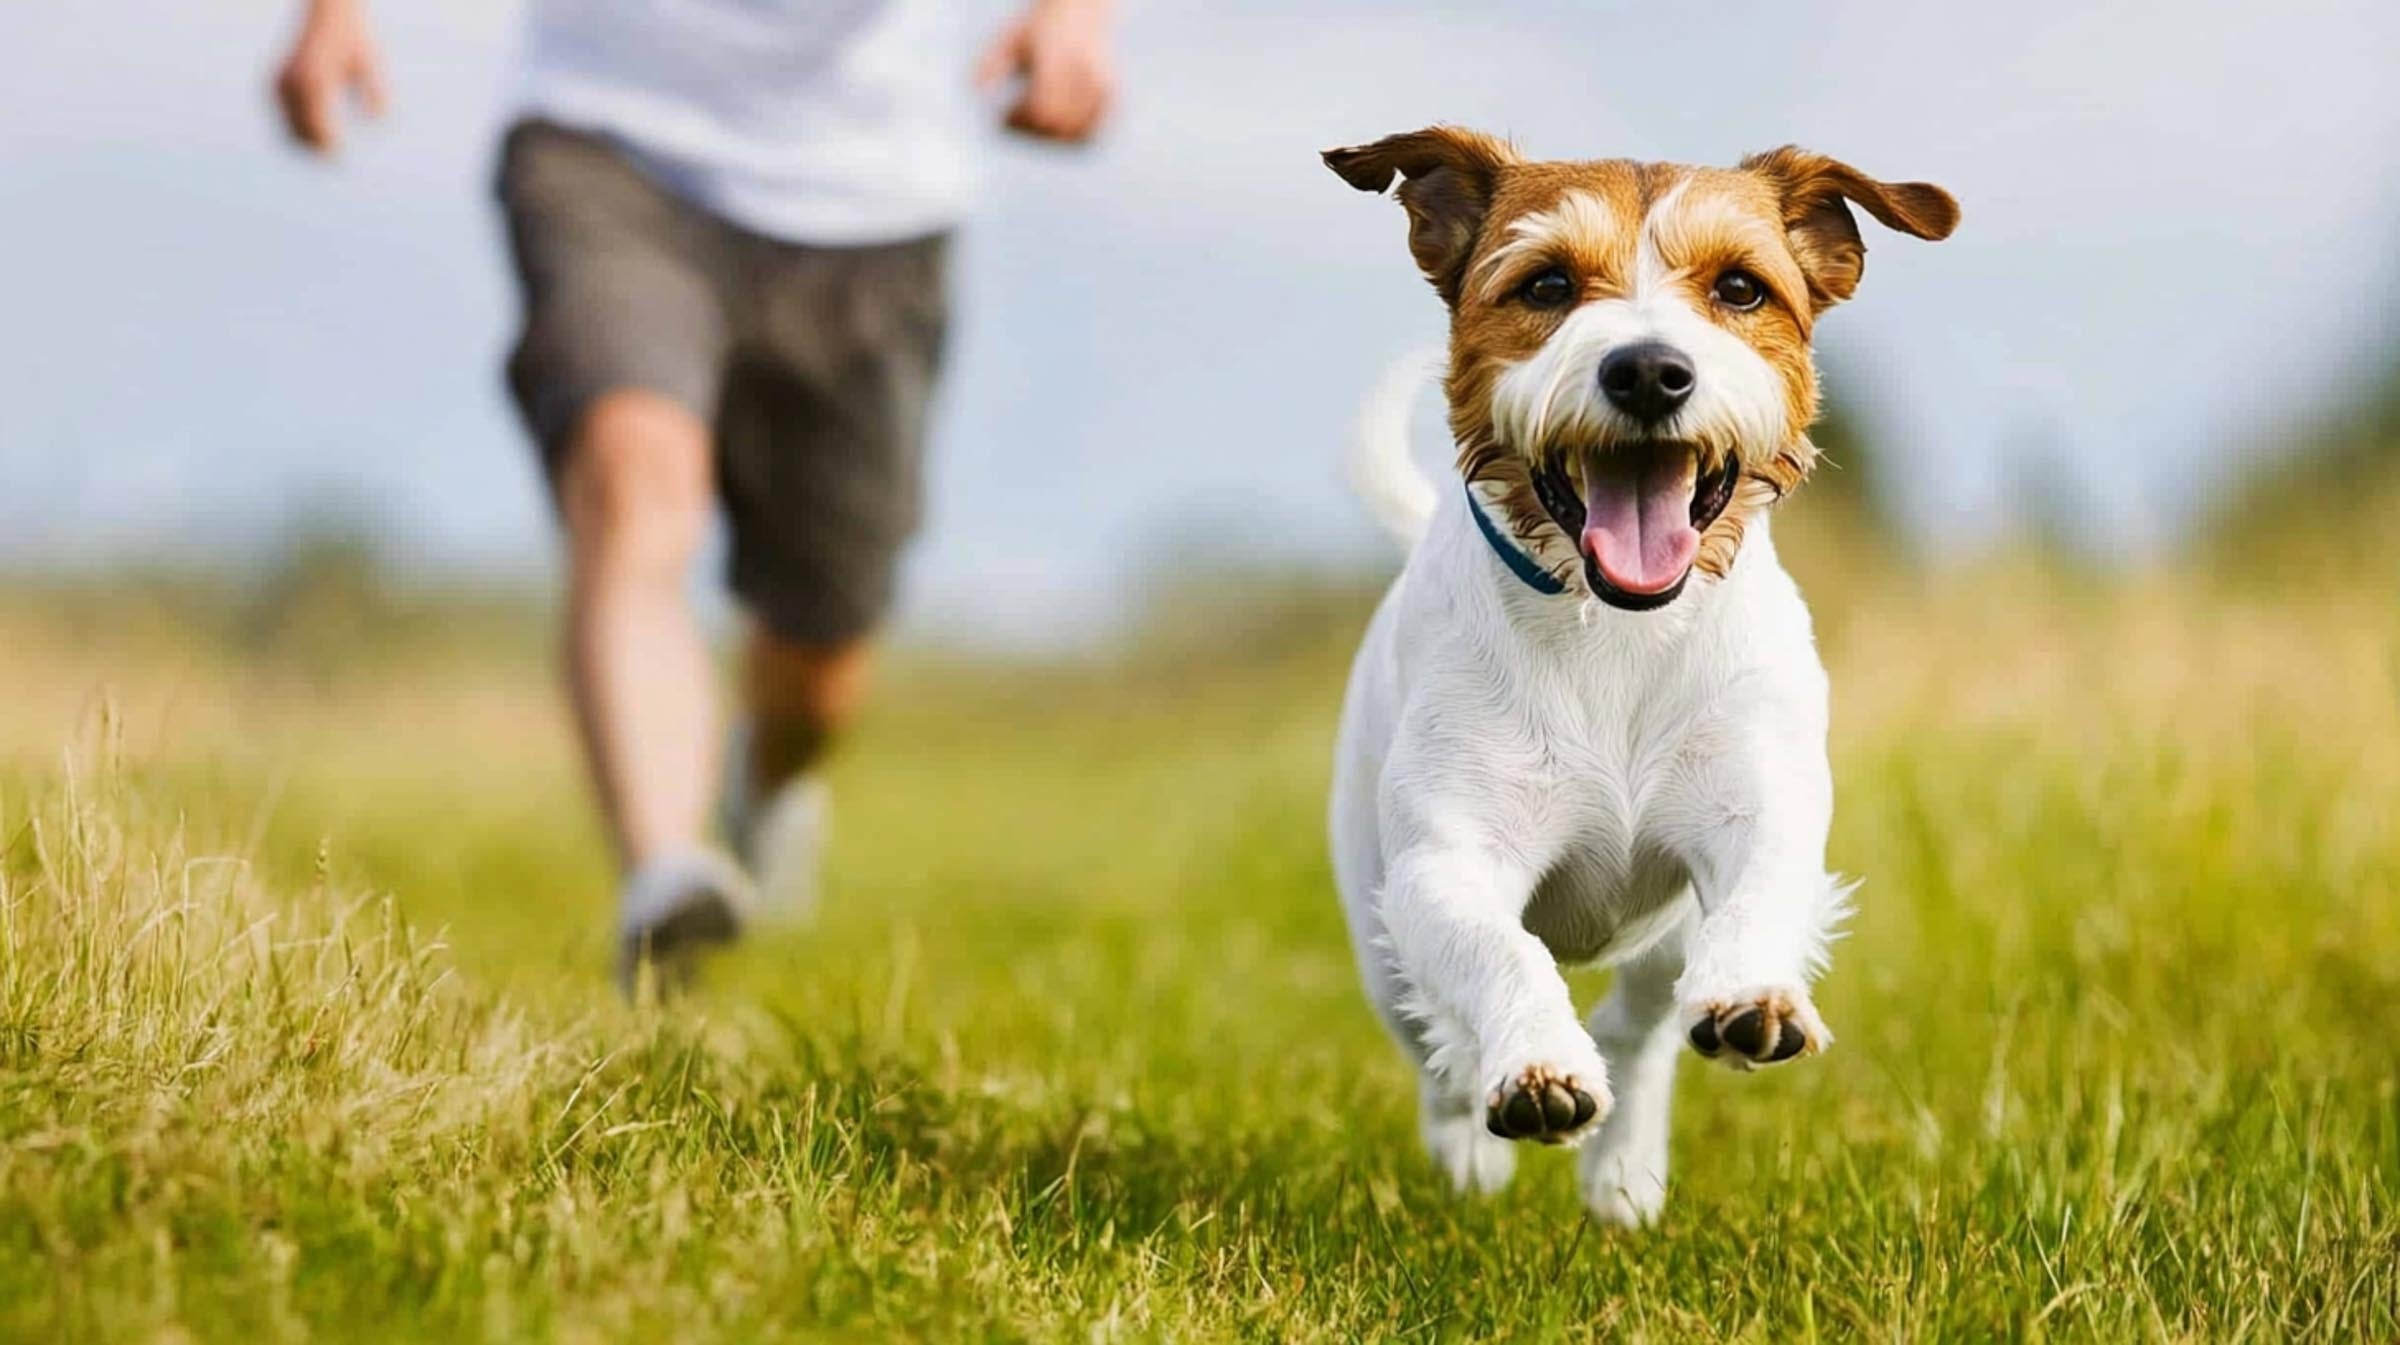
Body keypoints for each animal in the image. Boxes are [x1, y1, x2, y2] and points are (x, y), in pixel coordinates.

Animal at [1324, 131, 1958, 1224]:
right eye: (1546, 284)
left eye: (1741, 288)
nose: (1651, 371)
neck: (1616, 633)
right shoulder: (1445, 862)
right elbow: (1504, 952)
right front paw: (1536, 1067)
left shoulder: (1759, 809)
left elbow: (1760, 895)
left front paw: (1755, 995)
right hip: (1377, 921)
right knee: (1435, 1048)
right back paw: (1471, 1154)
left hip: (1662, 945)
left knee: (1641, 1028)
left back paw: (1624, 1179)